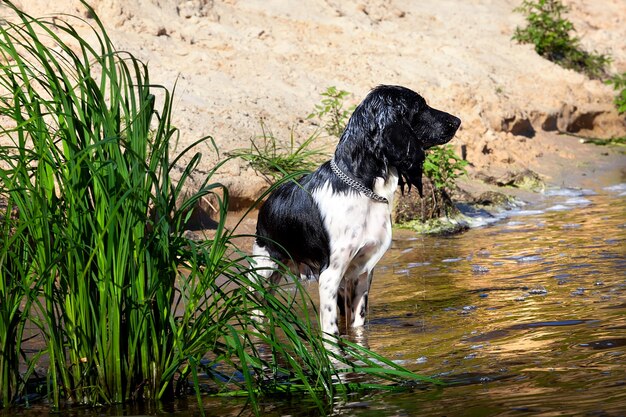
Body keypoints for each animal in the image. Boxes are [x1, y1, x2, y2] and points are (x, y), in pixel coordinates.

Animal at [251, 83, 460, 334]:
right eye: (420, 106)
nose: (457, 121)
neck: (362, 187)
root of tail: (268, 201)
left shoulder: (361, 272)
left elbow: (358, 324)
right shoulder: (330, 275)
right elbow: (330, 330)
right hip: (263, 267)